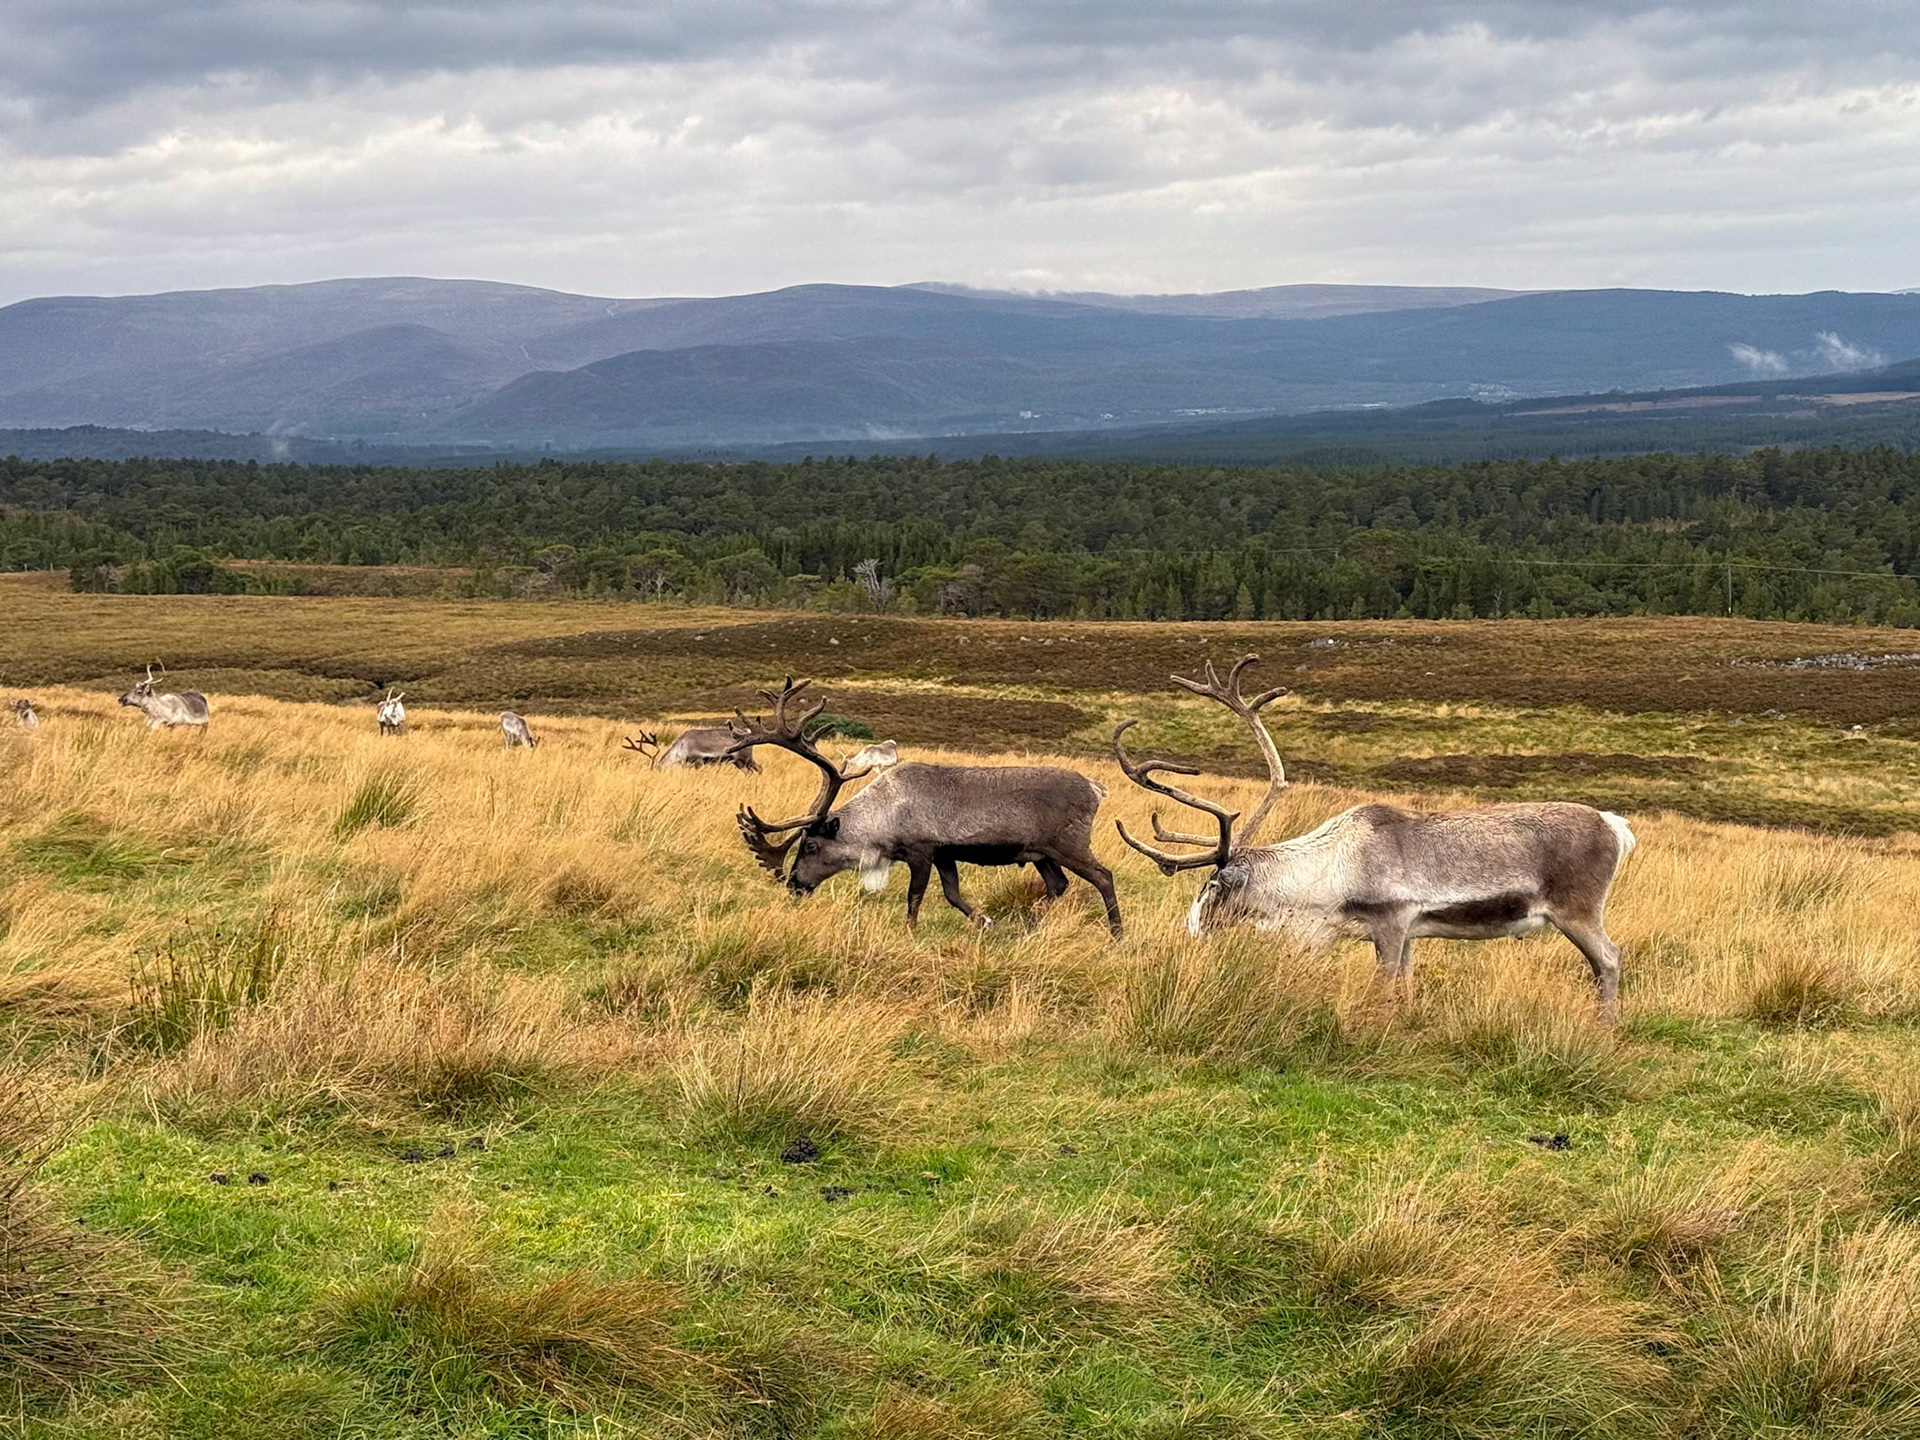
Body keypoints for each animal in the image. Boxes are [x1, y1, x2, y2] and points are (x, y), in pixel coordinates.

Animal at [623, 727, 761, 771]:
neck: (682, 747)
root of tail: (748, 731)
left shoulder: (698, 760)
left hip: (746, 758)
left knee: (759, 768)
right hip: (738, 762)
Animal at [728, 677, 1122, 934]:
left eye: (810, 845)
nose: (794, 883)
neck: (884, 814)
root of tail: (1096, 788)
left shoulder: (921, 849)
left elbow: (915, 896)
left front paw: (910, 931)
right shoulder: (945, 853)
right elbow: (952, 894)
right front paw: (985, 921)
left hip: (1069, 845)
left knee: (1103, 876)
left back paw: (1116, 932)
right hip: (1042, 854)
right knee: (1058, 885)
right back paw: (1031, 924)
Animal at [1112, 655, 1634, 1016]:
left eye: (1212, 886)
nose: (1190, 929)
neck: (1325, 877)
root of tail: (1616, 825)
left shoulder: (1392, 921)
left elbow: (1385, 985)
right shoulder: (1407, 932)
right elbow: (1404, 985)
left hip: (1578, 910)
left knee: (1609, 959)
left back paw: (1603, 1027)